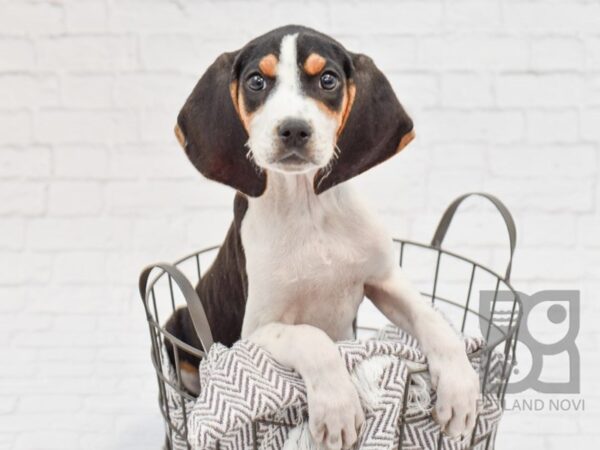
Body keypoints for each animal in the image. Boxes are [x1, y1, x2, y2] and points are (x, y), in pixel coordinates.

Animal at [166, 25, 480, 450]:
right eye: (256, 81)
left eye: (328, 80)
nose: (294, 129)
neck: (308, 211)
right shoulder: (255, 333)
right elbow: (312, 337)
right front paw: (337, 408)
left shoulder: (385, 280)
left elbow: (433, 320)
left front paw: (461, 389)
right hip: (177, 326)